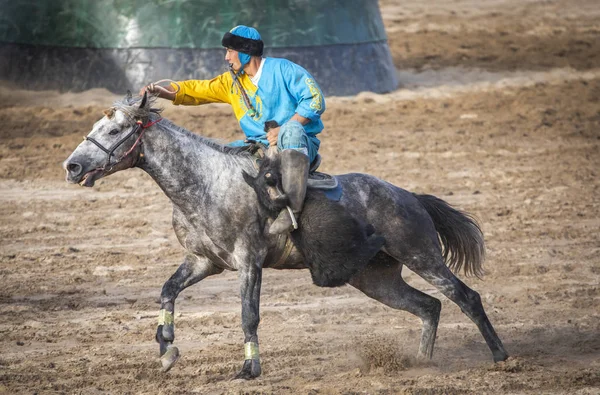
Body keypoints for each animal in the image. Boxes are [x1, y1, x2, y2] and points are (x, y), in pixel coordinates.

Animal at [64, 93, 506, 380]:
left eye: (116, 129)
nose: (72, 166)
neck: (207, 182)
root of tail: (410, 197)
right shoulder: (203, 262)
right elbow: (167, 291)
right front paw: (167, 349)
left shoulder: (248, 261)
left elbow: (248, 314)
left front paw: (249, 367)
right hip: (376, 279)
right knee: (430, 306)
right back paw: (422, 362)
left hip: (421, 255)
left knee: (465, 297)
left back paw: (501, 356)